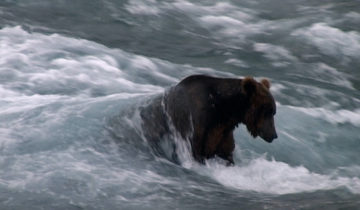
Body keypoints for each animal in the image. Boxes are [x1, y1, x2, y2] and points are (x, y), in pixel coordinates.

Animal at [139, 74, 278, 165]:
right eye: (267, 111)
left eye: (273, 111)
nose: (274, 134)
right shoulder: (197, 125)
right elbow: (197, 150)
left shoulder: (221, 131)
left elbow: (225, 152)